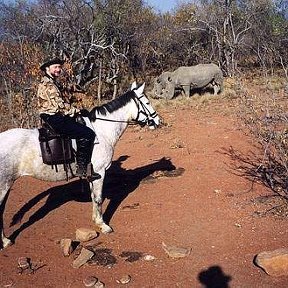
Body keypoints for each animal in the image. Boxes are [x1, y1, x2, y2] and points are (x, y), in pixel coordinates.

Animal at [0, 82, 160, 249]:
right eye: (147, 102)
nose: (157, 121)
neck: (101, 131)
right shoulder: (100, 173)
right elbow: (99, 198)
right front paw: (103, 225)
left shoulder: (92, 176)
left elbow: (94, 197)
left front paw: (96, 220)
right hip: (4, 185)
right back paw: (5, 241)